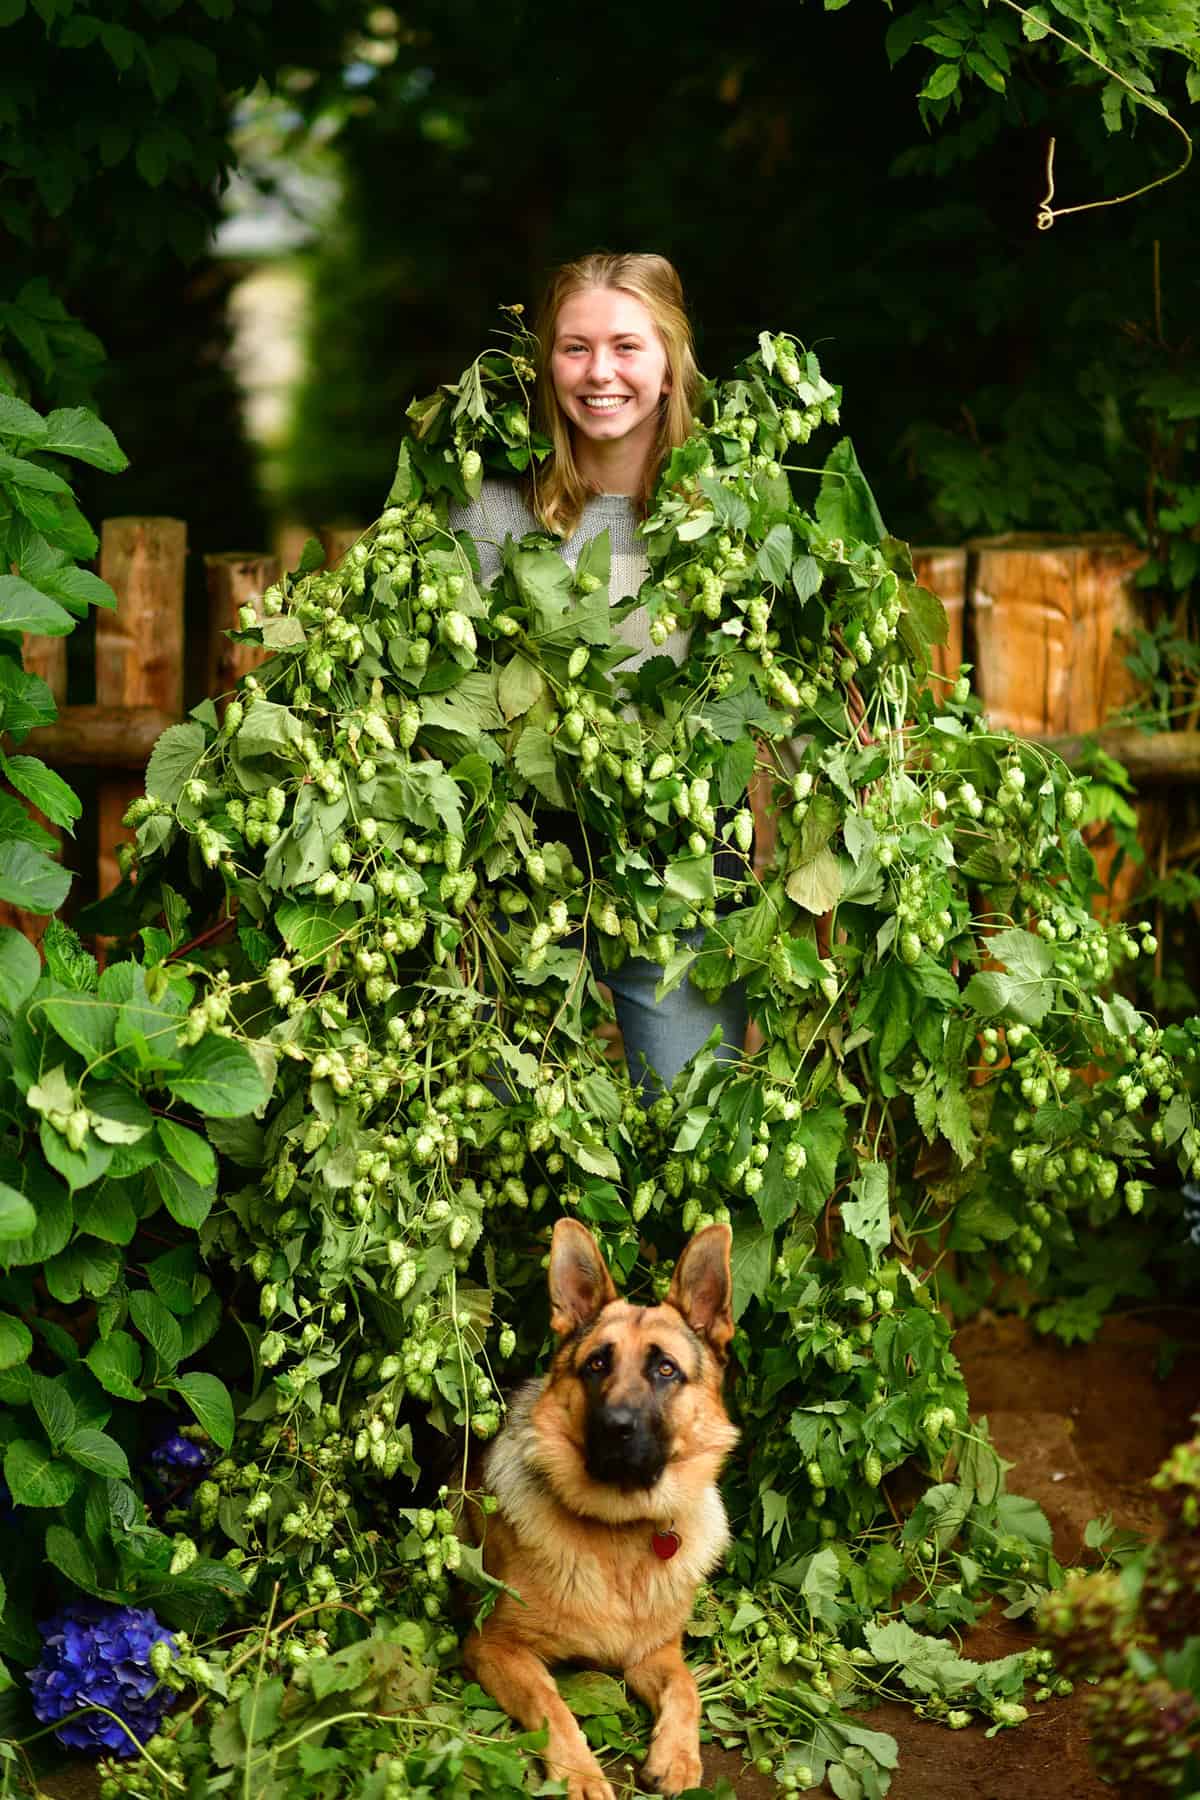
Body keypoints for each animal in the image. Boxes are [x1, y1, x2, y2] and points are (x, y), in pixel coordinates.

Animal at [464, 1216, 737, 1800]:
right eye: (596, 1364)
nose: (615, 1427)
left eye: (665, 1369)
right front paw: (581, 1774)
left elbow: (686, 1688)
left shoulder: (656, 1654)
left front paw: (677, 1757)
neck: (622, 1530)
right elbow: (551, 1704)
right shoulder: (493, 1647)